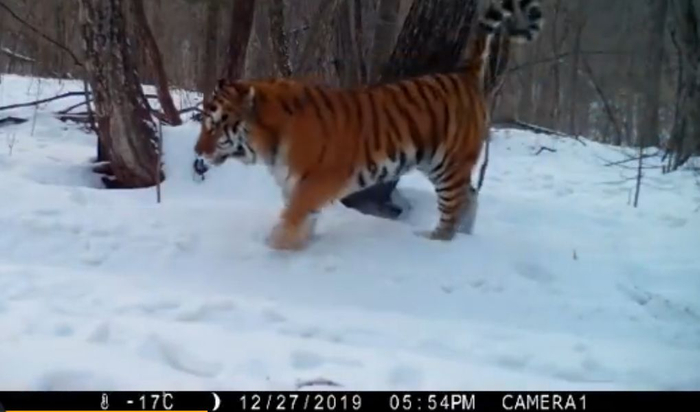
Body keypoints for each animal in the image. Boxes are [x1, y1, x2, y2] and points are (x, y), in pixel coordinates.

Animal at [192, 0, 544, 251]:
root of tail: (465, 72)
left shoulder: (317, 181)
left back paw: (437, 242)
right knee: (471, 196)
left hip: (449, 164)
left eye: (216, 125)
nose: (197, 152)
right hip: (437, 162)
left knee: (455, 204)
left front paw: (274, 249)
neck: (269, 143)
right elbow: (302, 219)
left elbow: (293, 217)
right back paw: (464, 239)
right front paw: (297, 246)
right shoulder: (296, 185)